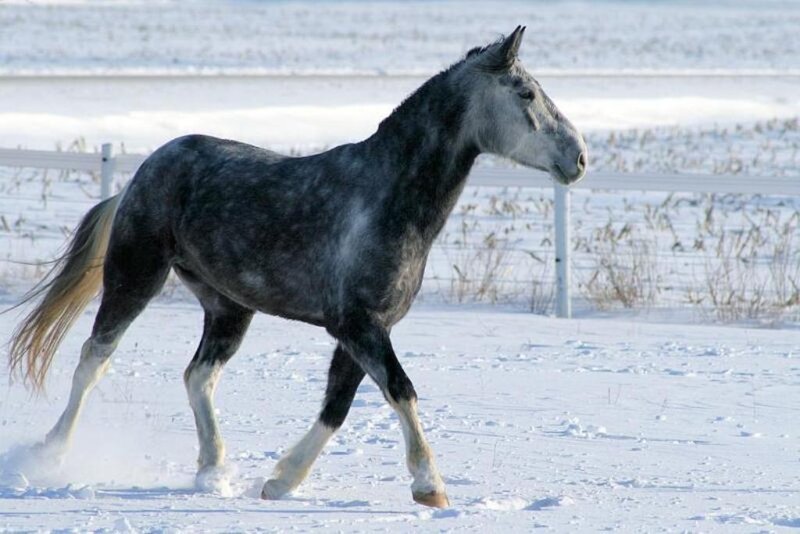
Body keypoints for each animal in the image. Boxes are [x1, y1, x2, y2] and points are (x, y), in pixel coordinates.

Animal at [8, 27, 586, 508]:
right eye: (526, 93)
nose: (578, 158)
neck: (386, 198)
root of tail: (144, 171)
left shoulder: (364, 331)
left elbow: (338, 407)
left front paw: (281, 481)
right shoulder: (359, 326)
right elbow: (401, 390)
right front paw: (430, 487)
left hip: (228, 307)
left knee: (198, 376)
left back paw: (213, 472)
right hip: (136, 276)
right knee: (93, 359)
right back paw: (49, 454)